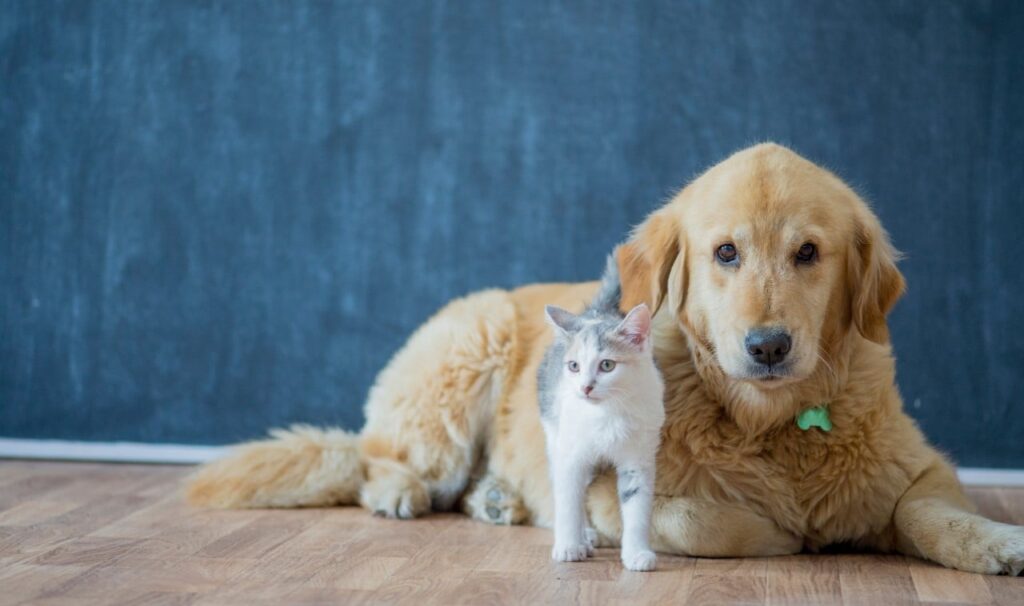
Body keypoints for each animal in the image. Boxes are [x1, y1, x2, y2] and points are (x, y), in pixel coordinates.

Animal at [540, 256, 667, 573]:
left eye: (607, 365)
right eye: (573, 366)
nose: (585, 387)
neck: (607, 413)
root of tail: (595, 311)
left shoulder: (639, 459)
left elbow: (637, 508)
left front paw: (636, 554)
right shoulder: (570, 454)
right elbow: (568, 501)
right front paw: (568, 545)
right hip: (555, 433)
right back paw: (583, 537)